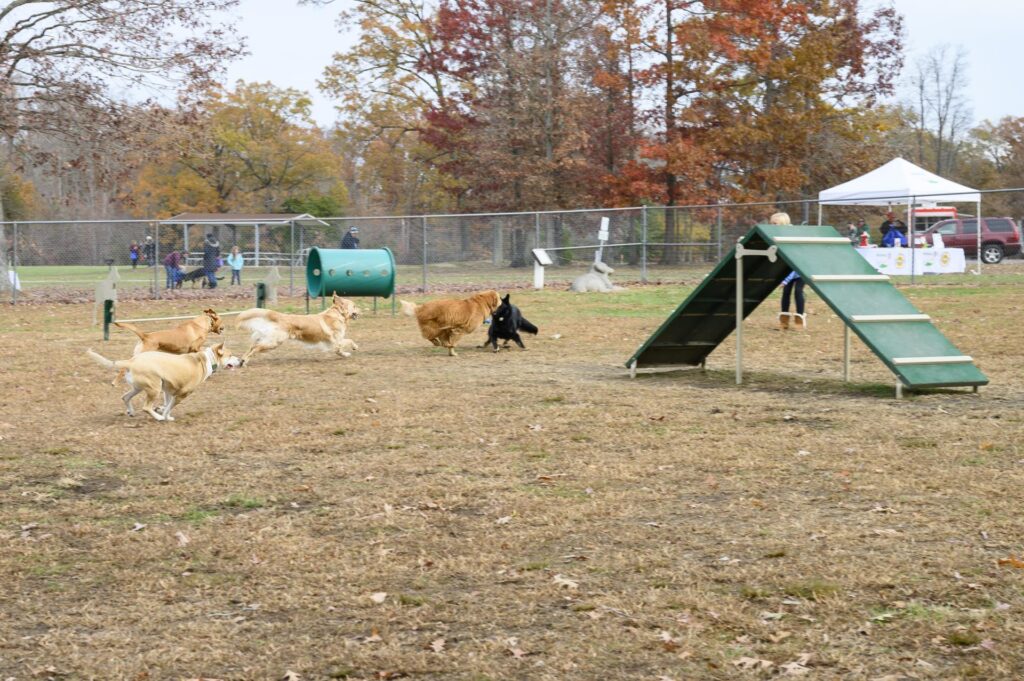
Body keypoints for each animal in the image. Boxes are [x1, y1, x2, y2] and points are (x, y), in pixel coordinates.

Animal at [87, 346, 240, 419]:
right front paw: (166, 416)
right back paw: (158, 418)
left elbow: (167, 404)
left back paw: (131, 412)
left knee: (125, 397)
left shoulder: (168, 390)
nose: (242, 360)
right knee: (146, 407)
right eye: (230, 354)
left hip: (139, 388)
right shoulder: (182, 394)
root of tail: (131, 361)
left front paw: (161, 409)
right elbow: (169, 407)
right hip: (154, 388)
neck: (206, 359)